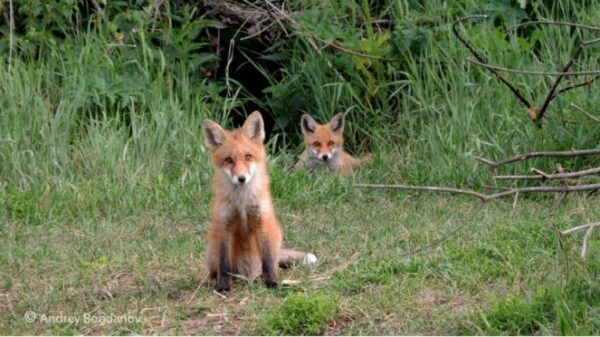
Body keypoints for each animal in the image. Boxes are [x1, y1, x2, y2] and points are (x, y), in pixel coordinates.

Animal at [203, 111, 316, 292]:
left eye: (248, 157)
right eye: (228, 160)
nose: (241, 178)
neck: (242, 202)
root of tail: (246, 276)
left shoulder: (261, 222)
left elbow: (268, 261)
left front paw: (272, 283)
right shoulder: (224, 226)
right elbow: (224, 264)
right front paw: (223, 287)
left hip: (275, 236)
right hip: (212, 247)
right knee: (215, 269)